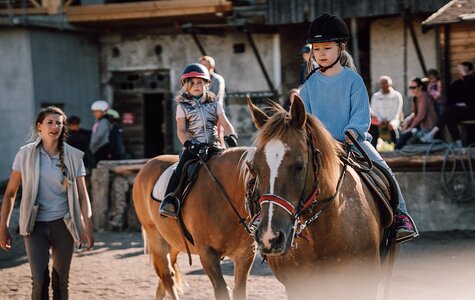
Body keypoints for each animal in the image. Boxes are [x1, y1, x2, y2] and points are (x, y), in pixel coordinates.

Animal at [132, 150, 256, 300]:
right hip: (155, 236)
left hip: (174, 242)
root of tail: (147, 165)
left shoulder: (245, 254)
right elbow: (222, 290)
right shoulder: (207, 254)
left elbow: (239, 290)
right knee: (166, 275)